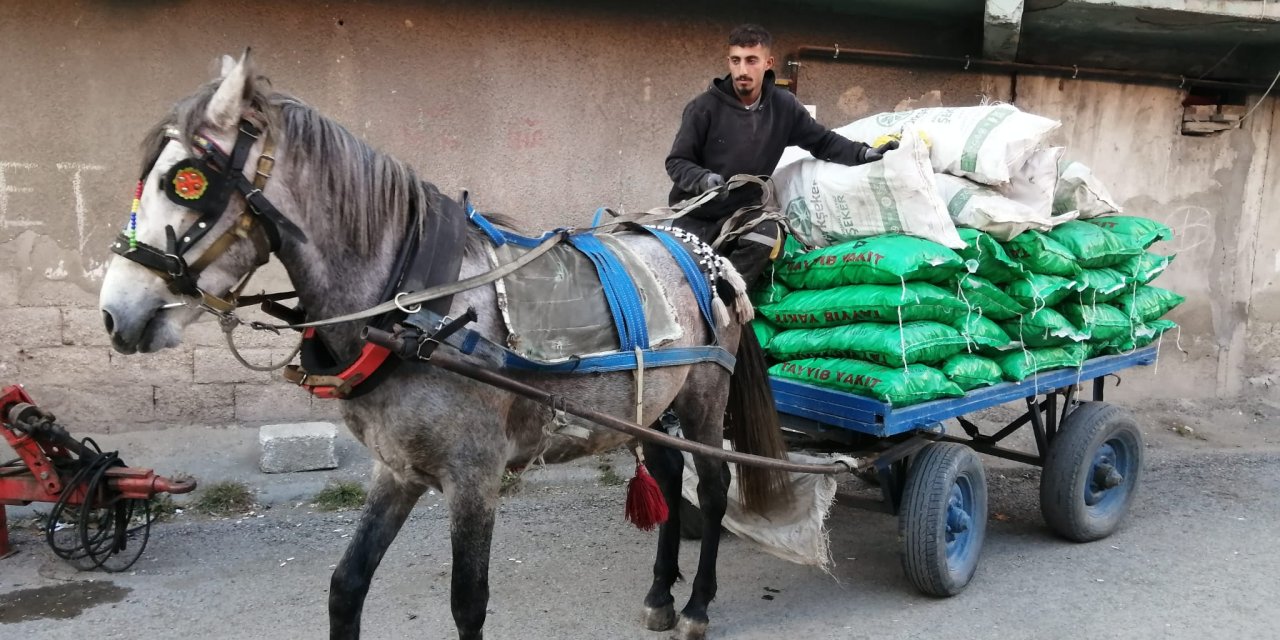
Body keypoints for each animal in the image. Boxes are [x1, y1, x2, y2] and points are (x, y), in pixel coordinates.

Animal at [97, 52, 788, 640]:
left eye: (184, 181)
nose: (114, 313)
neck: (413, 311)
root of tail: (706, 251)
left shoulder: (473, 477)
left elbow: (467, 604)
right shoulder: (396, 468)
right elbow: (346, 585)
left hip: (703, 396)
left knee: (714, 486)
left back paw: (696, 605)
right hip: (650, 406)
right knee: (668, 478)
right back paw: (660, 595)